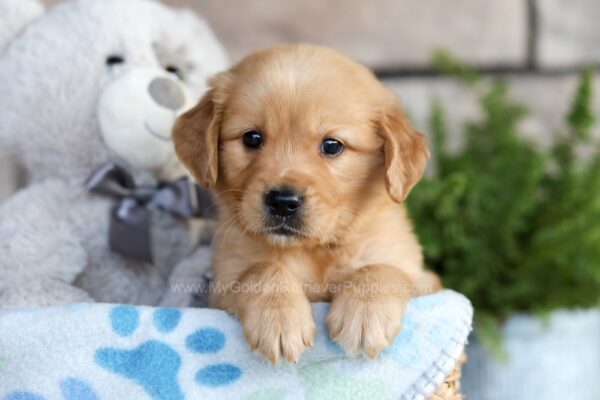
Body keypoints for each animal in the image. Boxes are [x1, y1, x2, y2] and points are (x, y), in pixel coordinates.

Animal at [171, 43, 438, 362]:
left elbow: (383, 269)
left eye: (332, 145)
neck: (314, 250)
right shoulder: (223, 285)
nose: (283, 202)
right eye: (252, 138)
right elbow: (261, 270)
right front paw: (279, 319)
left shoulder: (426, 280)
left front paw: (365, 314)